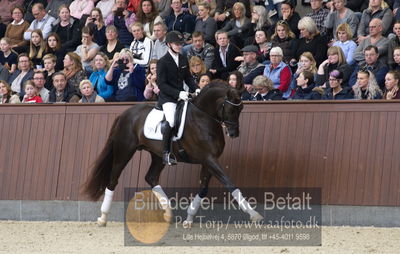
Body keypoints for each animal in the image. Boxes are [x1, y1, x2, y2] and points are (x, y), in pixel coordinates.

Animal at [82, 80, 262, 225]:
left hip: (157, 155)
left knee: (151, 177)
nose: (234, 133)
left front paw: (189, 218)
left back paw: (168, 213)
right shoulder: (209, 159)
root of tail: (125, 114)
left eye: (242, 108)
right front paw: (253, 213)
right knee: (113, 179)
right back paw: (103, 217)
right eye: (231, 109)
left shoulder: (209, 160)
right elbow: (229, 183)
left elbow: (203, 189)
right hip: (124, 151)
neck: (203, 117)